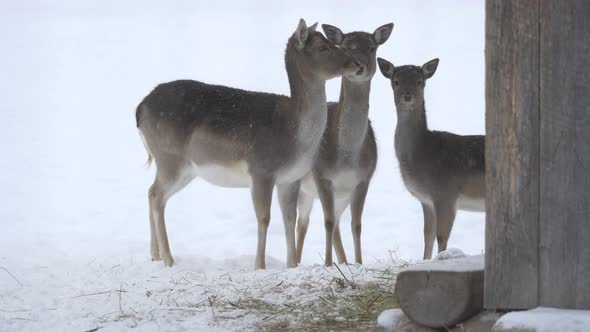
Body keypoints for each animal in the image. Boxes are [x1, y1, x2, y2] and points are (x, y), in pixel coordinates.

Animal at [138, 18, 360, 268]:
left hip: (184, 169)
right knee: (157, 197)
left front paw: (292, 265)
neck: (295, 137)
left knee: (151, 193)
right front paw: (260, 265)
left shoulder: (291, 178)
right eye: (323, 47)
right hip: (170, 159)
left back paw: (155, 255)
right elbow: (264, 218)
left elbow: (289, 219)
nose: (356, 64)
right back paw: (169, 259)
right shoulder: (261, 171)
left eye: (332, 42)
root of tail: (139, 108)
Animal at [376, 56, 488, 260]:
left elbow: (441, 236)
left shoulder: (446, 194)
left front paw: (441, 258)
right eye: (396, 81)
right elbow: (427, 235)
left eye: (420, 82)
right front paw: (425, 260)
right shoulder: (426, 200)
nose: (407, 96)